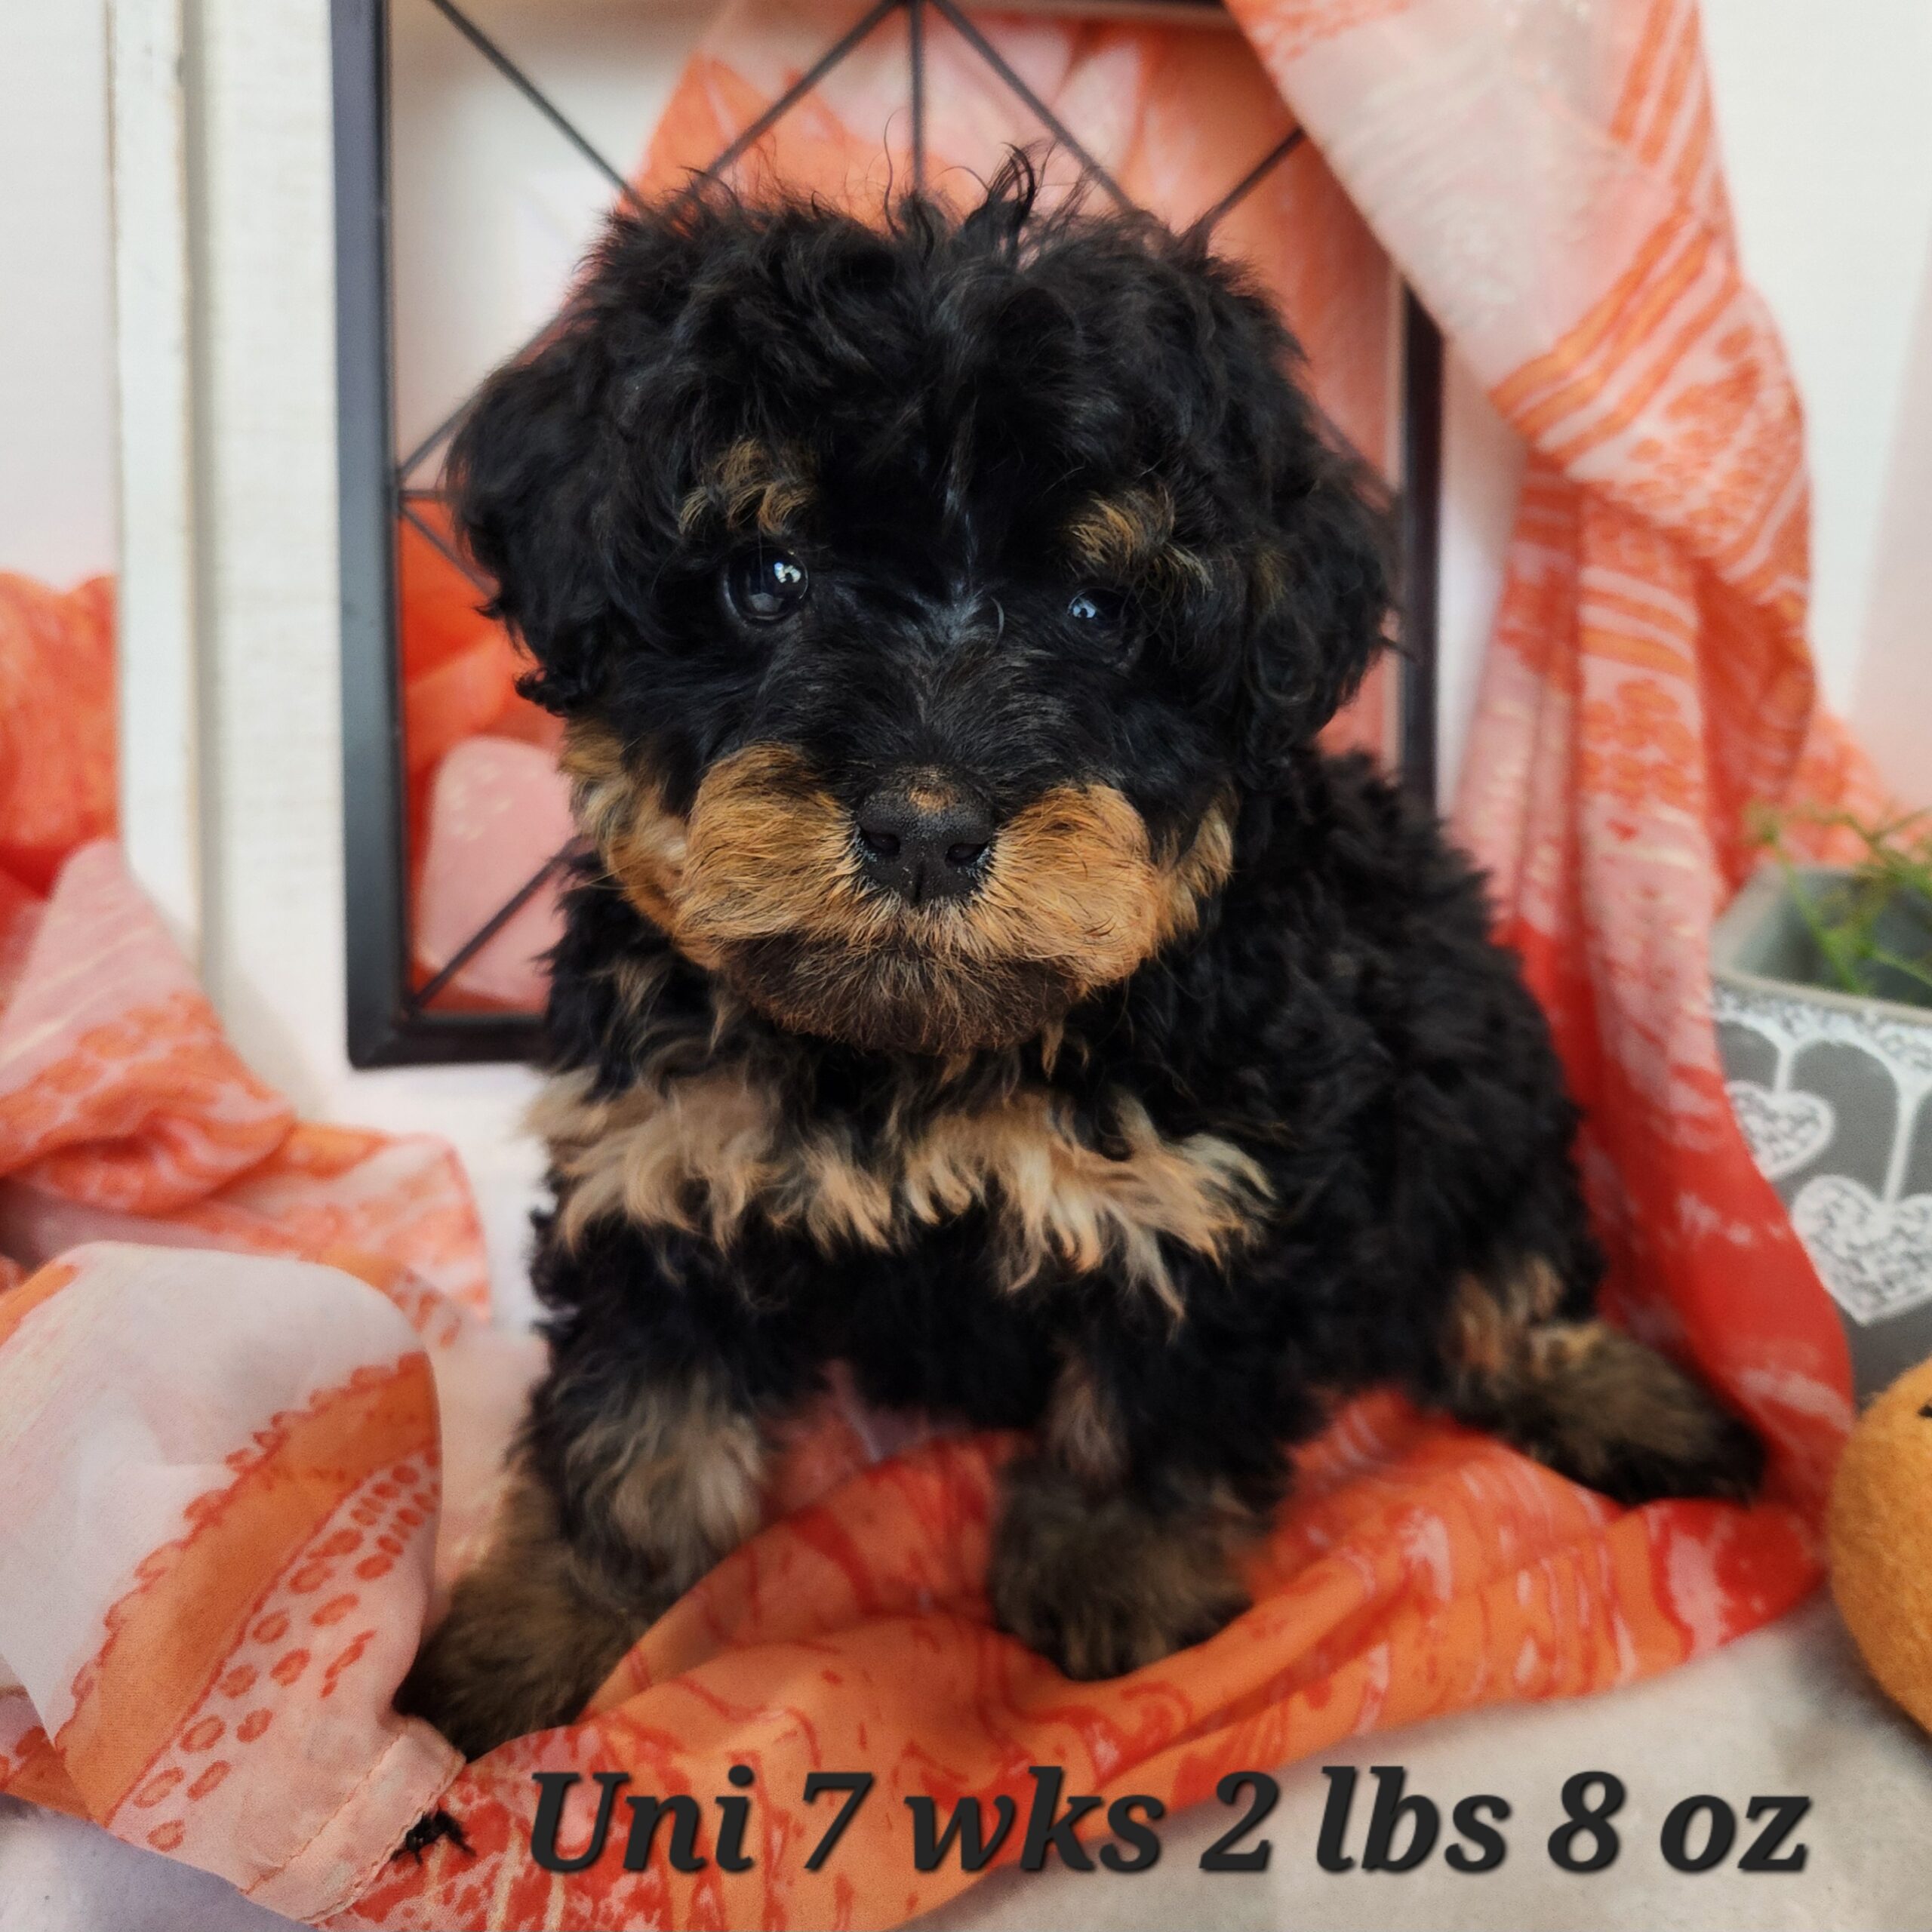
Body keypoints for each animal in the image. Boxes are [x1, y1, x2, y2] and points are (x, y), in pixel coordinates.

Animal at [399, 162, 1761, 1769]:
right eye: (767, 577)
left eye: (1099, 610)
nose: (925, 828)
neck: (911, 1055)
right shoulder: (666, 1157)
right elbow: (636, 1429)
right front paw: (523, 1649)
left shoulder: (1212, 1185)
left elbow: (1157, 1390)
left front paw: (1116, 1589)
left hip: (1471, 1030)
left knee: (1508, 1252)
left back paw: (1624, 1398)